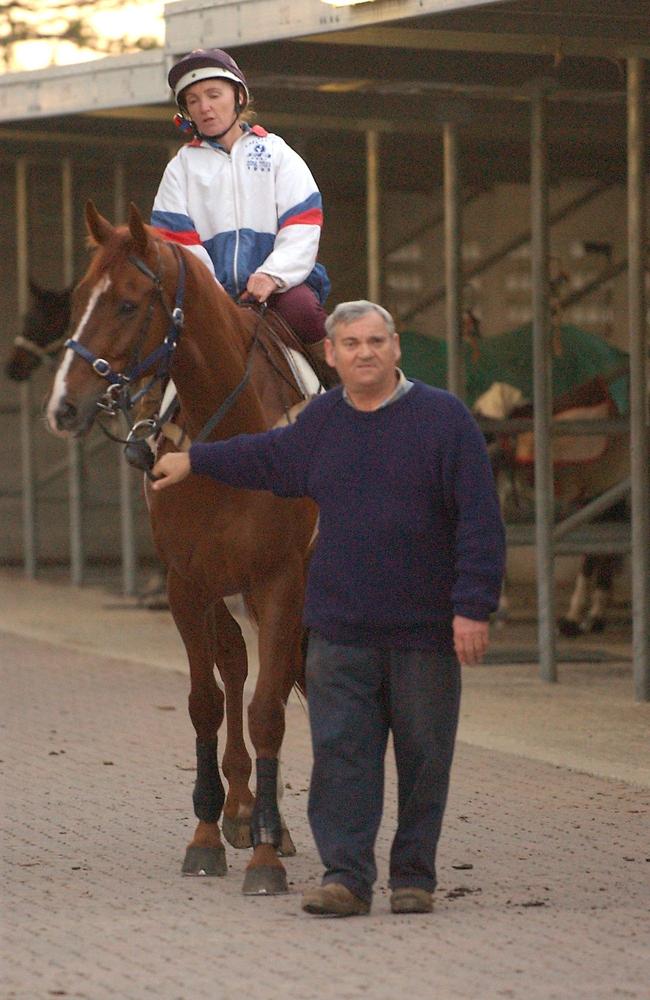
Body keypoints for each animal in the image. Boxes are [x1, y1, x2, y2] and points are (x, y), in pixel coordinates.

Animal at [45, 199, 318, 896]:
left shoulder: (281, 579)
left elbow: (268, 708)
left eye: (127, 304)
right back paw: (244, 810)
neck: (231, 438)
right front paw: (208, 834)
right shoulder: (186, 582)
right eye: (80, 297)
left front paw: (267, 856)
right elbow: (205, 702)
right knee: (235, 665)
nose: (63, 406)